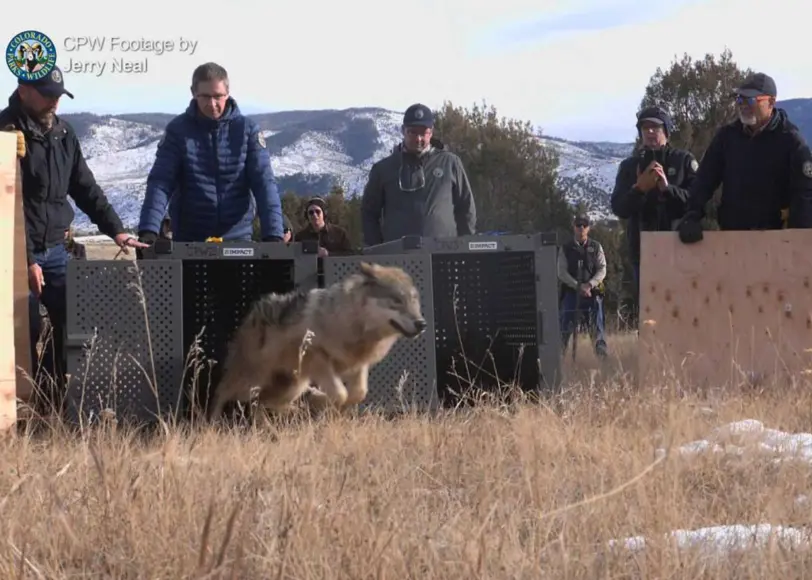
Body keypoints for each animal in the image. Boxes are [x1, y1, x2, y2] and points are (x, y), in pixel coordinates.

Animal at [208, 260, 426, 420]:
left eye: (414, 301)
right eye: (397, 301)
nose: (421, 324)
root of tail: (252, 313)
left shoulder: (358, 366)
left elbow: (358, 393)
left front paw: (320, 402)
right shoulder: (318, 359)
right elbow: (340, 394)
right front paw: (319, 401)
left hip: (292, 385)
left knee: (263, 403)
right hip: (251, 381)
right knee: (222, 392)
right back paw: (211, 423)